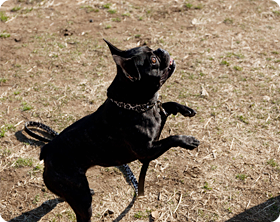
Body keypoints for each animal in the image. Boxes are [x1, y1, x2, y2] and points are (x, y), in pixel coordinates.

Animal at [40, 39, 200, 221]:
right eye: (153, 60)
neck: (136, 106)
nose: (160, 49)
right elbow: (171, 138)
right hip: (82, 201)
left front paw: (185, 109)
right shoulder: (147, 152)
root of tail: (46, 151)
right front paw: (187, 140)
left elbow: (167, 105)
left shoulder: (158, 118)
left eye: (151, 48)